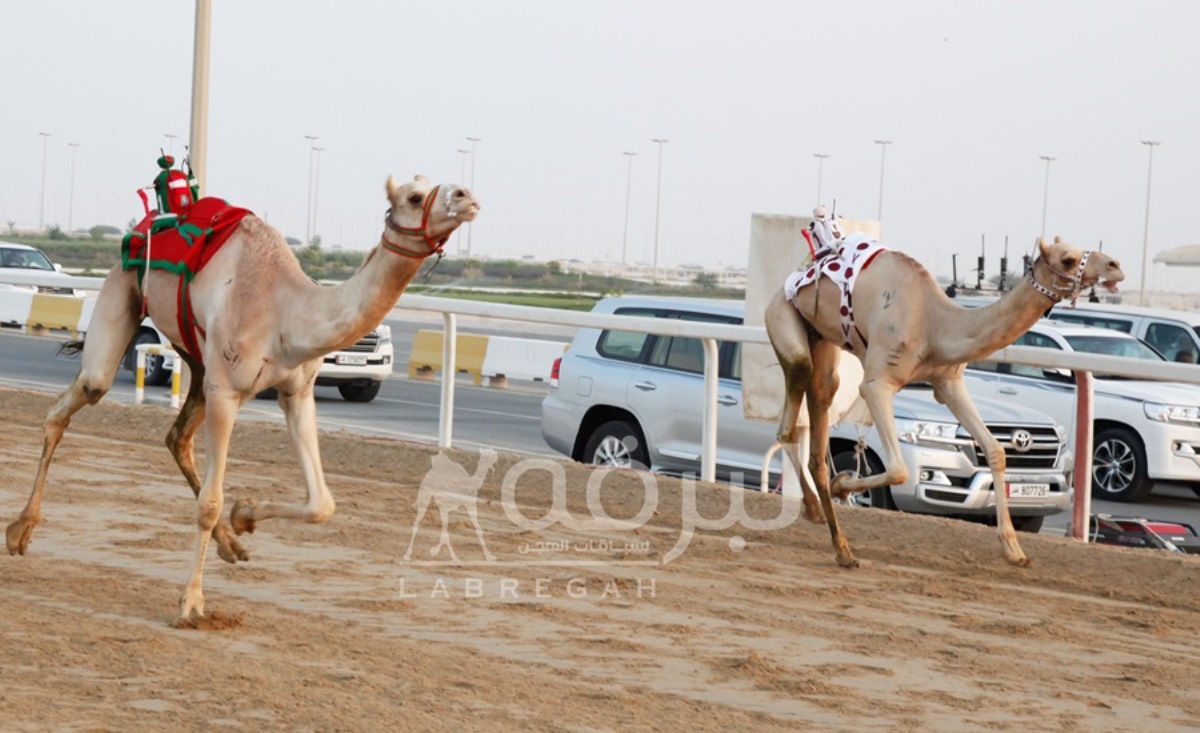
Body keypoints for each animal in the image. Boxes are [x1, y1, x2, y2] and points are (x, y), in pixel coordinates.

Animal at [8, 173, 482, 623]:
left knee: (177, 437)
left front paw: (245, 513)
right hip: (125, 293)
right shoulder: (227, 391)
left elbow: (321, 503)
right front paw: (192, 603)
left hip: (197, 360)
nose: (466, 196)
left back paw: (230, 543)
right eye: (414, 197)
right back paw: (20, 530)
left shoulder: (296, 392)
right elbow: (209, 502)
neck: (287, 314)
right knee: (78, 397)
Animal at [768, 232, 1123, 571]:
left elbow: (995, 450)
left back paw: (840, 546)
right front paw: (843, 484)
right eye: (1067, 260)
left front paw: (1015, 551)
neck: (935, 324)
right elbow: (899, 469)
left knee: (819, 415)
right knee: (792, 404)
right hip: (782, 317)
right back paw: (819, 511)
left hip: (822, 341)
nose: (1115, 265)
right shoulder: (877, 383)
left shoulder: (949, 383)